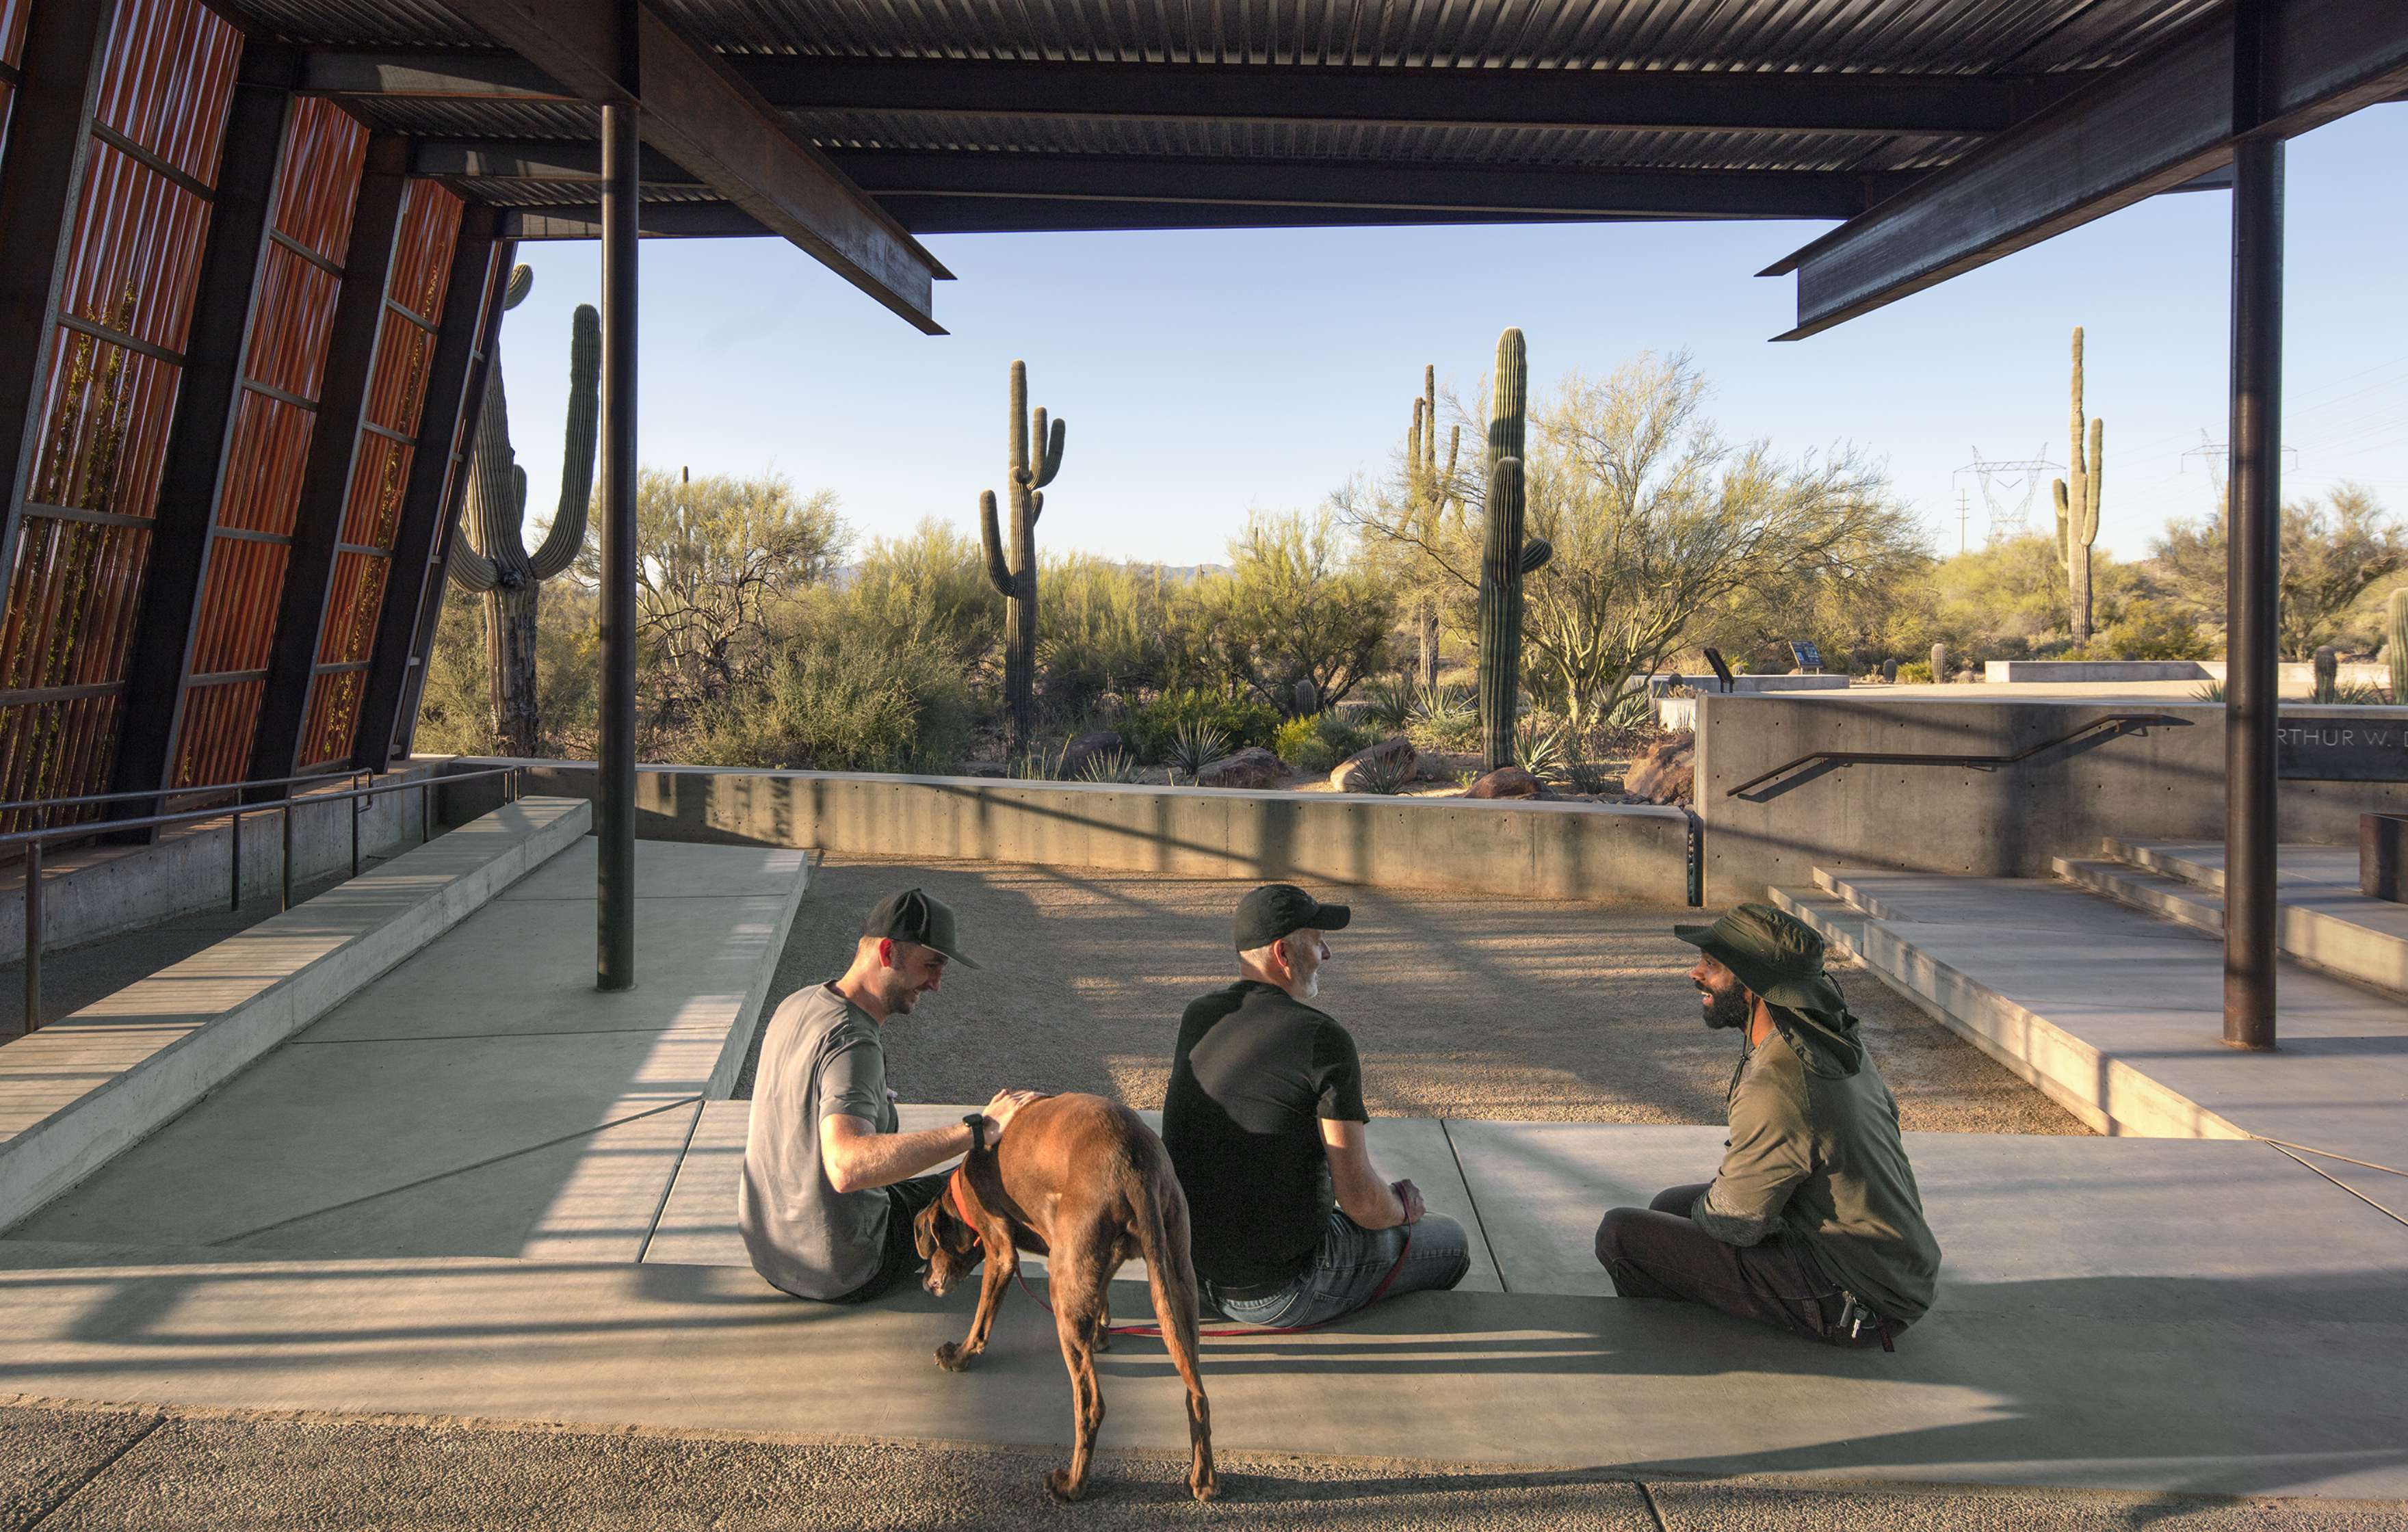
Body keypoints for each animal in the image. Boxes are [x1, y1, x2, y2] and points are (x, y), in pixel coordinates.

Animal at [905, 1093, 1214, 1503]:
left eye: (931, 1248)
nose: (927, 1284)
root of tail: (1135, 1167)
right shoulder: (1102, 1261)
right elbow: (1102, 1300)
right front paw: (1100, 1336)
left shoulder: (1000, 1251)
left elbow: (982, 1317)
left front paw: (959, 1355)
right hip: (1178, 1277)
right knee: (1196, 1390)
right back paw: (1204, 1479)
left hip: (1061, 1285)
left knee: (1091, 1405)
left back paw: (1072, 1485)